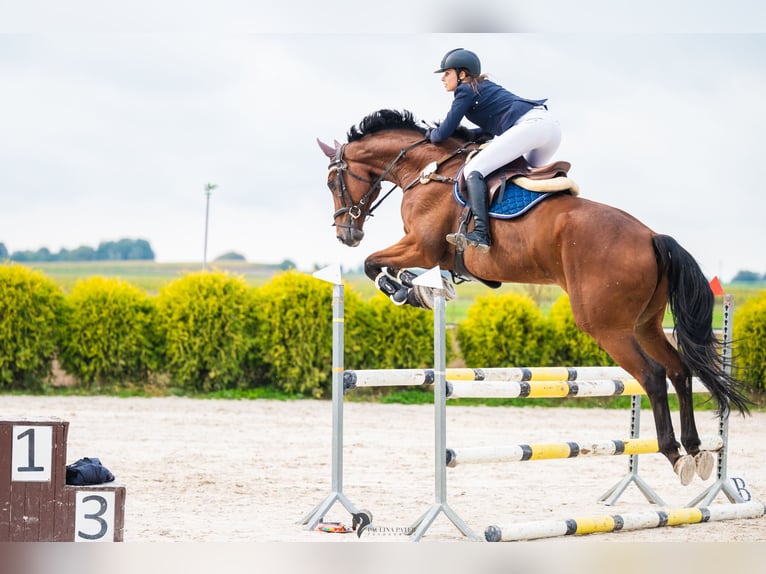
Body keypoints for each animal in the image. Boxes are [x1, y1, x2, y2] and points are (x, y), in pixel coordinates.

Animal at [316, 108, 752, 486]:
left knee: (653, 375)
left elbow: (373, 264)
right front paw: (420, 286)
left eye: (332, 183)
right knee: (679, 370)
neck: (429, 172)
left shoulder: (421, 246)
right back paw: (696, 451)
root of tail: (651, 237)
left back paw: (675, 453)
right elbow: (393, 266)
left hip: (607, 326)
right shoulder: (431, 253)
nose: (346, 233)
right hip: (645, 324)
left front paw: (404, 289)